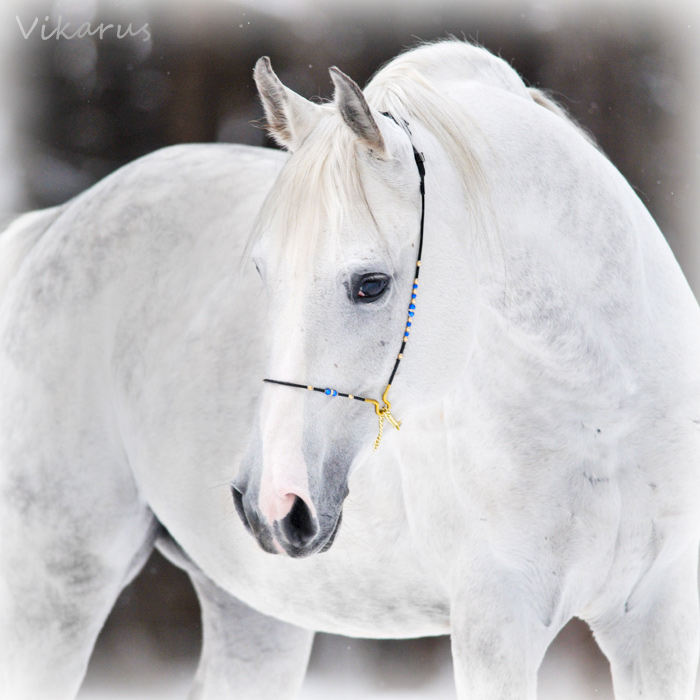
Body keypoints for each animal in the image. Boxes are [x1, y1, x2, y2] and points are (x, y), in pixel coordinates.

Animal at [0, 42, 696, 700]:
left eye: (371, 284)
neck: (604, 421)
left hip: (256, 617)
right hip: (56, 589)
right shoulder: (497, 626)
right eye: (263, 274)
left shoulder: (657, 621)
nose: (273, 501)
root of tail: (54, 226)